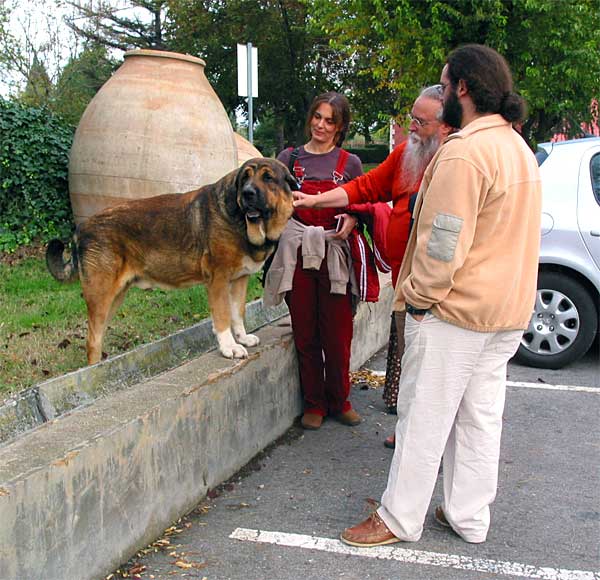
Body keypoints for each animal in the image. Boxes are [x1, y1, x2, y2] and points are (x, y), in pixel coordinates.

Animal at [48, 154, 296, 362]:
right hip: (101, 296)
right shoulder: (218, 280)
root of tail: (80, 229)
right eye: (245, 178)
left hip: (114, 297)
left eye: (268, 177)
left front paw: (242, 338)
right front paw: (229, 347)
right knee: (92, 341)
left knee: (97, 339)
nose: (247, 193)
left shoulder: (239, 280)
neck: (242, 221)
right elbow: (223, 316)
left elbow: (237, 313)